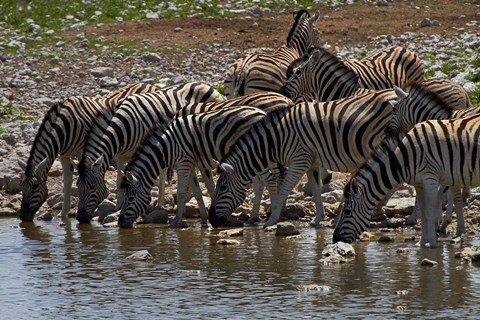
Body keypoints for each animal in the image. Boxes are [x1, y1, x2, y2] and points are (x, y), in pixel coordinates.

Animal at [15, 82, 156, 221]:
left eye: (35, 186)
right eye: (21, 186)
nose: (22, 216)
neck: (64, 126)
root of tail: (147, 84)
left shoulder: (81, 150)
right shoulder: (63, 154)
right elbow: (67, 181)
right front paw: (63, 213)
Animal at [75, 82, 225, 222]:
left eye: (92, 187)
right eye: (77, 186)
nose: (80, 218)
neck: (122, 125)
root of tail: (203, 84)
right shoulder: (119, 155)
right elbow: (119, 181)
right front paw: (118, 207)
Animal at [209, 89, 398, 229]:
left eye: (223, 188)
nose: (211, 221)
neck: (278, 138)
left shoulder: (299, 161)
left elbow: (284, 189)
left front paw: (272, 219)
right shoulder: (311, 163)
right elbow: (315, 189)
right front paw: (318, 218)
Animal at [332, 115, 480, 248]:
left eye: (347, 212)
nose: (335, 239)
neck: (405, 158)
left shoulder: (430, 178)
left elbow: (429, 212)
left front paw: (432, 244)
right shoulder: (420, 183)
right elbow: (423, 213)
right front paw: (422, 243)